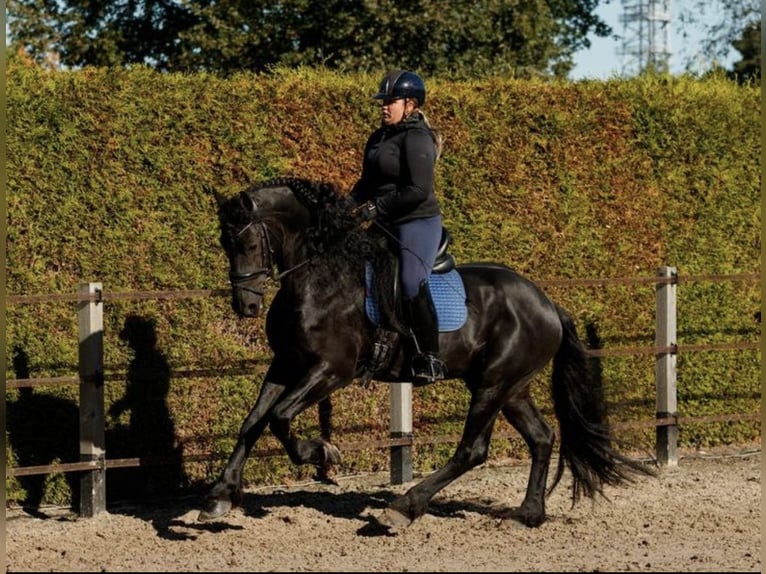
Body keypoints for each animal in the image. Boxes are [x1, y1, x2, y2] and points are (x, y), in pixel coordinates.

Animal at [200, 178, 656, 528]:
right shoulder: (286, 363)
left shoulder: (331, 369)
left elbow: (279, 418)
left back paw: (404, 508)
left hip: (493, 384)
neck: (321, 276)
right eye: (224, 242)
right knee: (542, 438)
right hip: (511, 387)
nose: (246, 306)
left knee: (472, 450)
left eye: (246, 242)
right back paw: (528, 514)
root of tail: (547, 304)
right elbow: (253, 422)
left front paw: (321, 452)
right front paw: (221, 496)